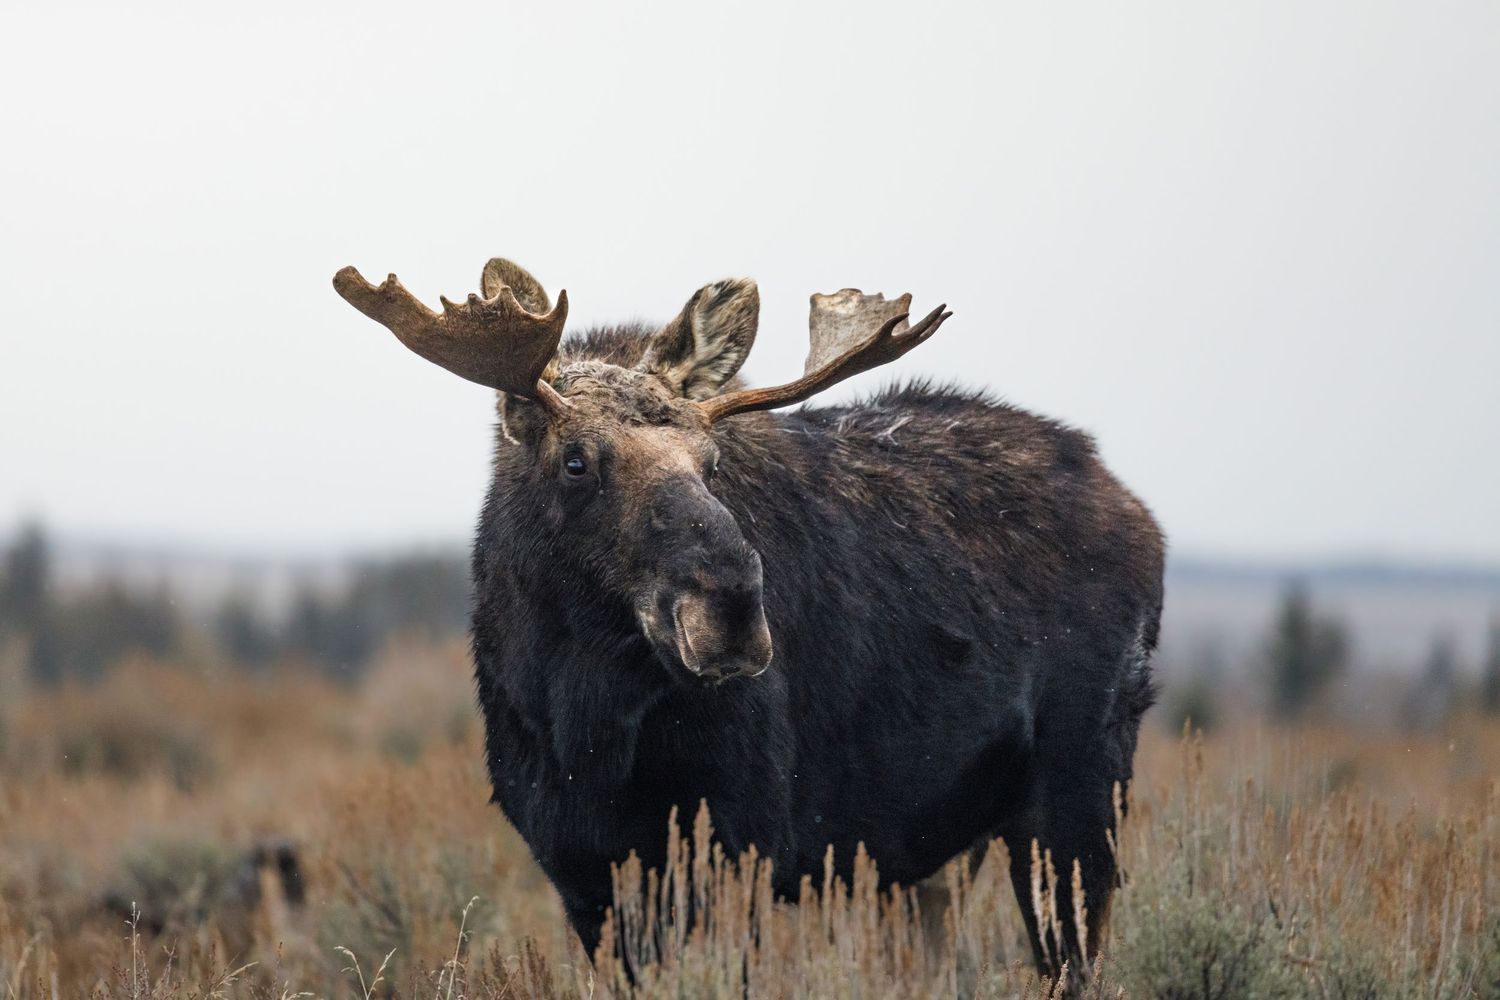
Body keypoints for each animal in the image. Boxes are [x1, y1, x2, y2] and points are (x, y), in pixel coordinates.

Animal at [333, 256, 1164, 981]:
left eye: (712, 462)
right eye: (575, 460)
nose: (730, 608)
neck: (581, 717)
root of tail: (1140, 512)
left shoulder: (741, 846)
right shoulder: (580, 870)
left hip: (1076, 800)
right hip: (938, 854)